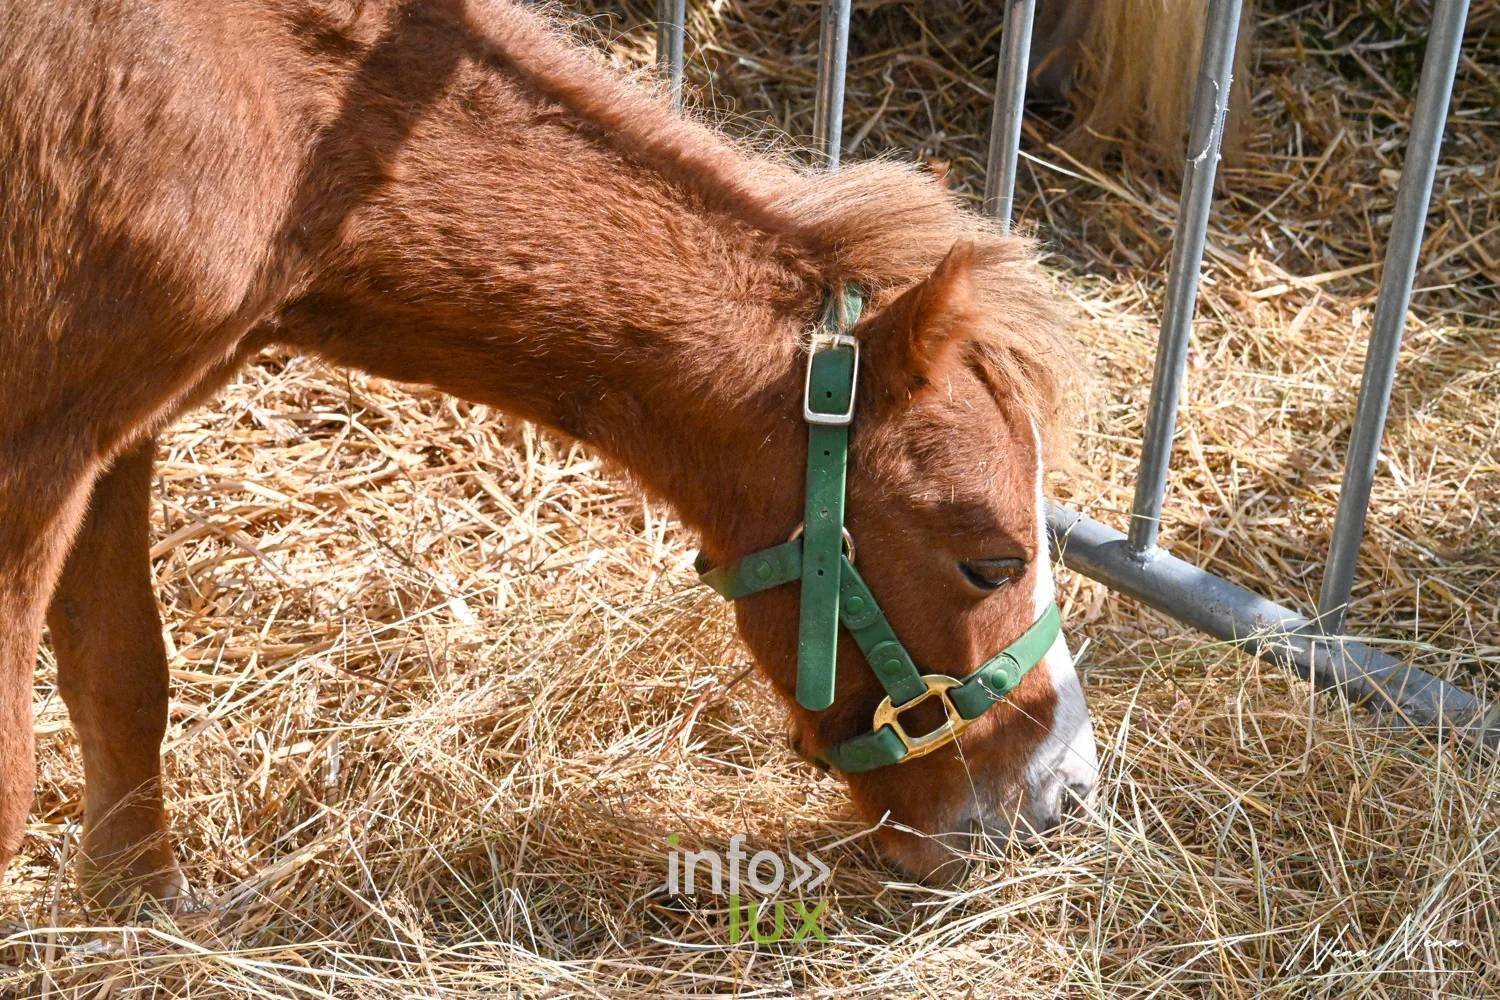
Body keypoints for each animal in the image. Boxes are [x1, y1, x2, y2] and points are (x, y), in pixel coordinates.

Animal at [0, 0, 1098, 914]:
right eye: (991, 561)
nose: (1062, 792)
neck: (266, 99)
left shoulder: (113, 433)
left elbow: (124, 679)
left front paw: (136, 912)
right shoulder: (34, 459)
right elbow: (16, 775)